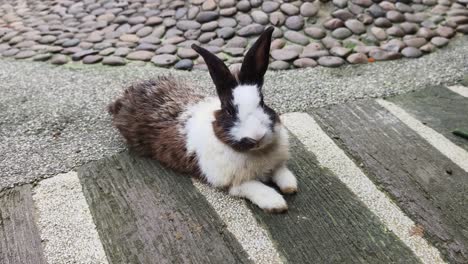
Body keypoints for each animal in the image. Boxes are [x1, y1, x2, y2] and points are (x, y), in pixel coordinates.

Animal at [109, 26, 296, 212]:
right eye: (229, 111)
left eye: (262, 103)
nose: (257, 137)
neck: (257, 152)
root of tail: (126, 97)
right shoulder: (233, 183)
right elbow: (255, 187)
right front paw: (276, 203)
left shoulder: (276, 164)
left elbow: (281, 171)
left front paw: (290, 186)